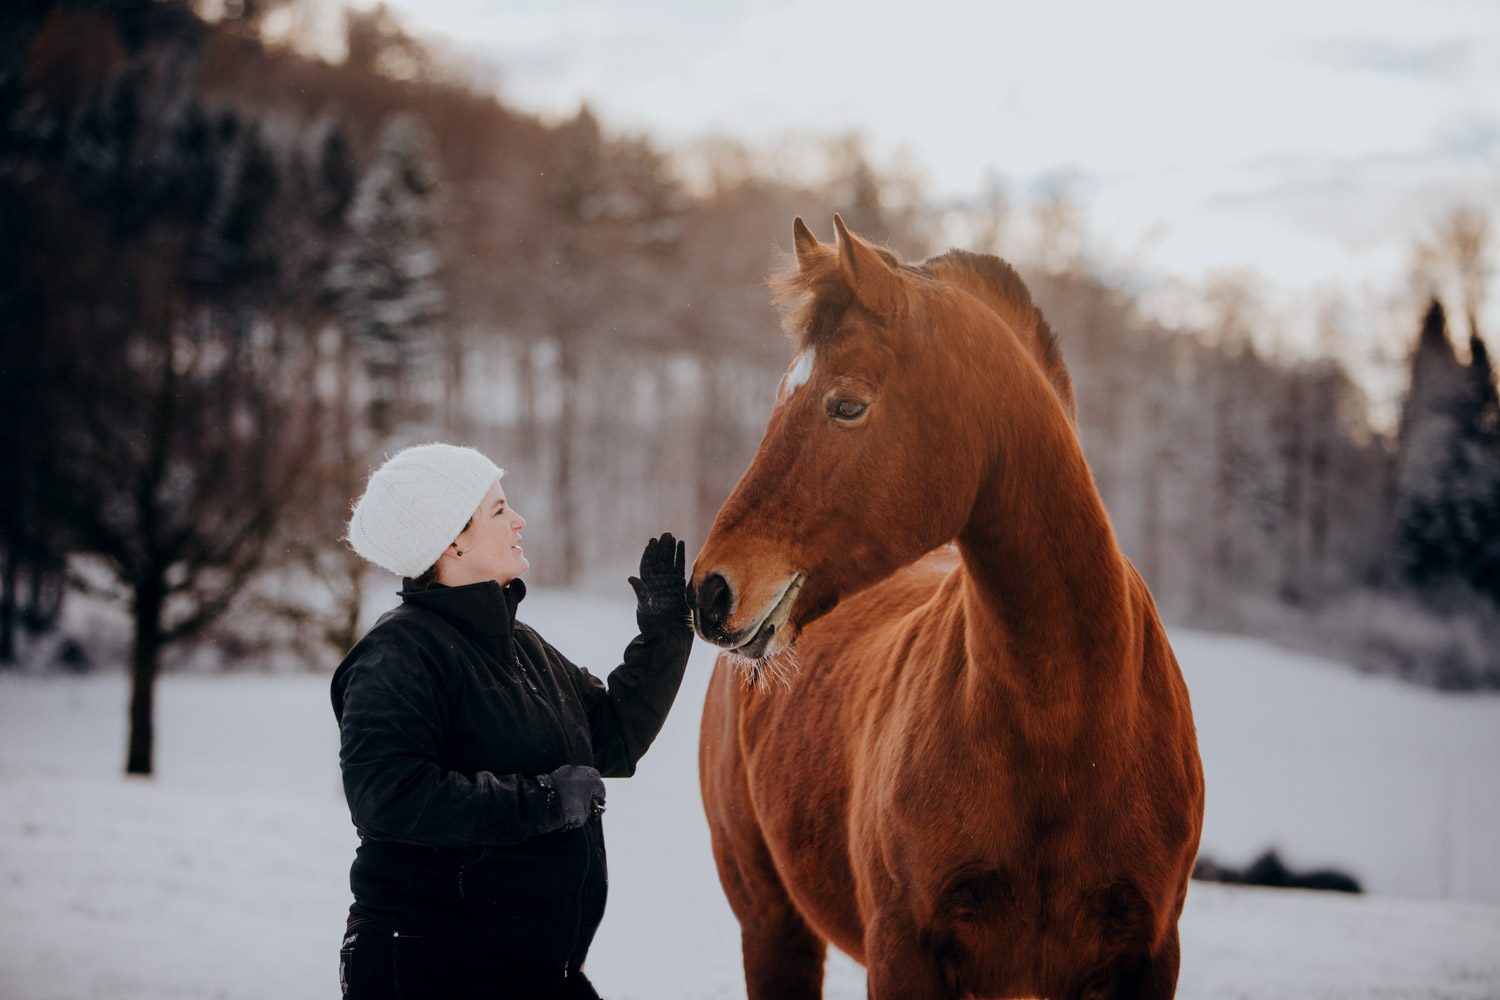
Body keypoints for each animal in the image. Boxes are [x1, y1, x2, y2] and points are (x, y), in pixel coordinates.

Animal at [690, 218, 1206, 1000]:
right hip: (772, 925)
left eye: (848, 404)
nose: (710, 590)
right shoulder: (904, 954)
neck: (1067, 732)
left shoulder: (1148, 958)